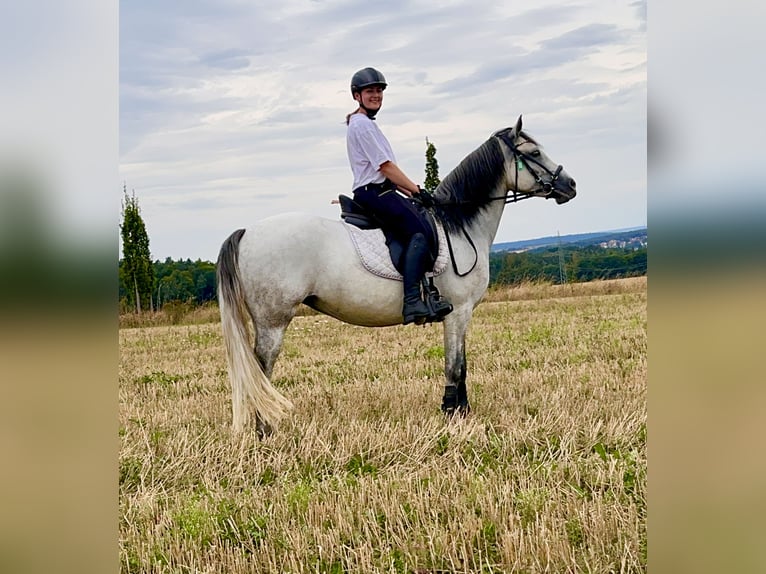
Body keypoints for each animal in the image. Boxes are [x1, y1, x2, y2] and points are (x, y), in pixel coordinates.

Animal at [216, 117, 576, 436]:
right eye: (533, 152)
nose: (570, 185)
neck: (459, 225)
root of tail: (247, 232)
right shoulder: (458, 312)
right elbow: (456, 366)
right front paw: (454, 414)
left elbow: (460, 364)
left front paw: (459, 411)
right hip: (273, 321)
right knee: (262, 369)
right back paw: (266, 431)